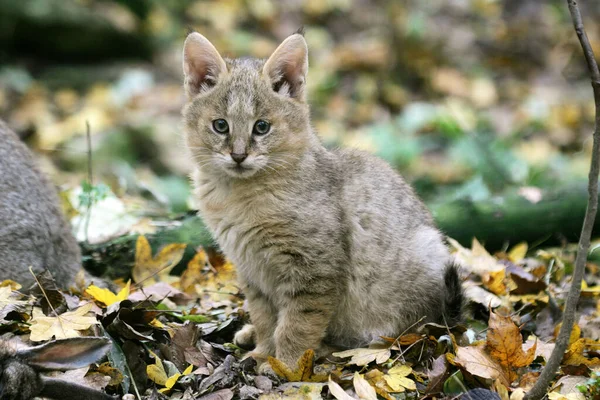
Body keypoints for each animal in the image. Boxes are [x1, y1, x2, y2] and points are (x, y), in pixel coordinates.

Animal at [180, 32, 462, 368]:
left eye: (261, 127)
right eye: (220, 125)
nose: (238, 155)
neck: (237, 195)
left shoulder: (315, 269)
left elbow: (297, 323)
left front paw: (287, 366)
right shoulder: (251, 270)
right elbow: (265, 317)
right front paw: (263, 351)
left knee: (394, 334)